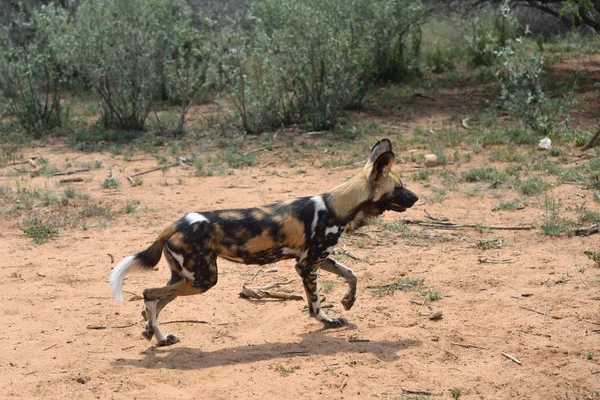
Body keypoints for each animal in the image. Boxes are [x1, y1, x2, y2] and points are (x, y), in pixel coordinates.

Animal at [109, 139, 418, 346]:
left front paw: (348, 302)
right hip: (203, 280)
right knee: (149, 293)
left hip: (187, 278)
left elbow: (352, 274)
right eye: (399, 187)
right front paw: (327, 322)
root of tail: (175, 223)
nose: (416, 197)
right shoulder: (307, 266)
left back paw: (155, 336)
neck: (338, 205)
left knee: (153, 301)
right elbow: (315, 305)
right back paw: (156, 335)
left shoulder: (317, 259)